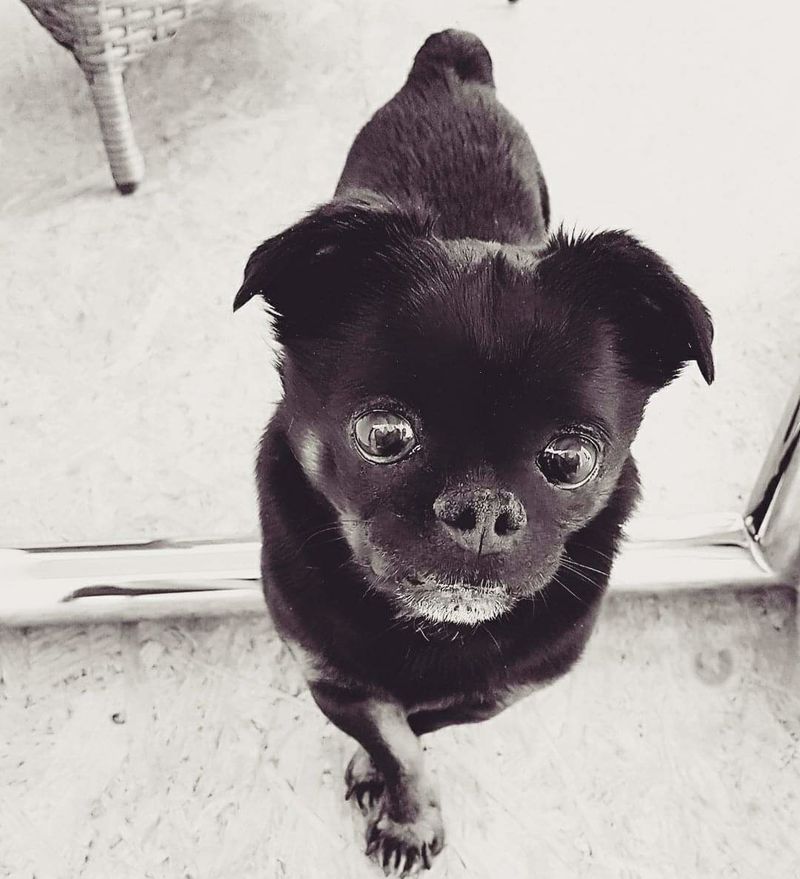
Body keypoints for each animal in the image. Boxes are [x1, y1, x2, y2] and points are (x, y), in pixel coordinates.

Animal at [233, 30, 714, 876]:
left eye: (570, 459)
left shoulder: (501, 690)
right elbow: (395, 736)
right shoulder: (330, 677)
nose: (484, 508)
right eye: (383, 436)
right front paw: (404, 810)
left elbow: (418, 728)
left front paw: (385, 786)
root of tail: (451, 62)